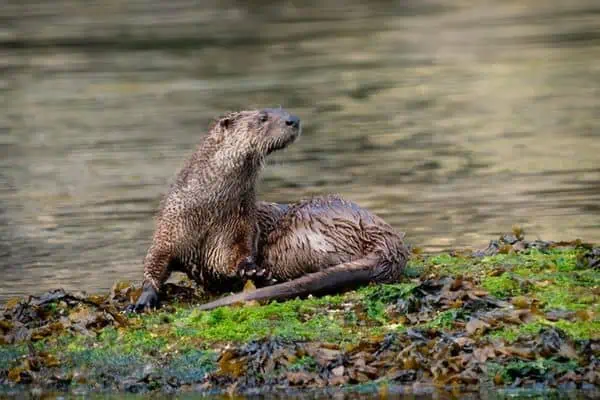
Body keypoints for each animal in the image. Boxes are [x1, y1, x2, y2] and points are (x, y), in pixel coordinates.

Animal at [127, 108, 408, 312]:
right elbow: (154, 264)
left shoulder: (239, 227)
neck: (205, 210)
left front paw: (252, 271)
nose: (293, 120)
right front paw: (143, 299)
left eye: (283, 110)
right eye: (262, 117)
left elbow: (235, 258)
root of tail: (387, 238)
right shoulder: (168, 228)